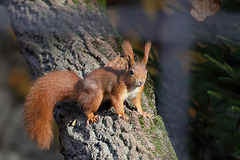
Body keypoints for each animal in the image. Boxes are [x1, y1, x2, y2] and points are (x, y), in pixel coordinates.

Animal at [23, 40, 151, 149]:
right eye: (132, 72)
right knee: (87, 108)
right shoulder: (117, 90)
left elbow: (137, 104)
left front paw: (143, 113)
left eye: (146, 72)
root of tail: (79, 89)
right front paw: (123, 115)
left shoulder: (137, 94)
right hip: (95, 94)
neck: (132, 86)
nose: (141, 82)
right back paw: (91, 116)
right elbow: (117, 102)